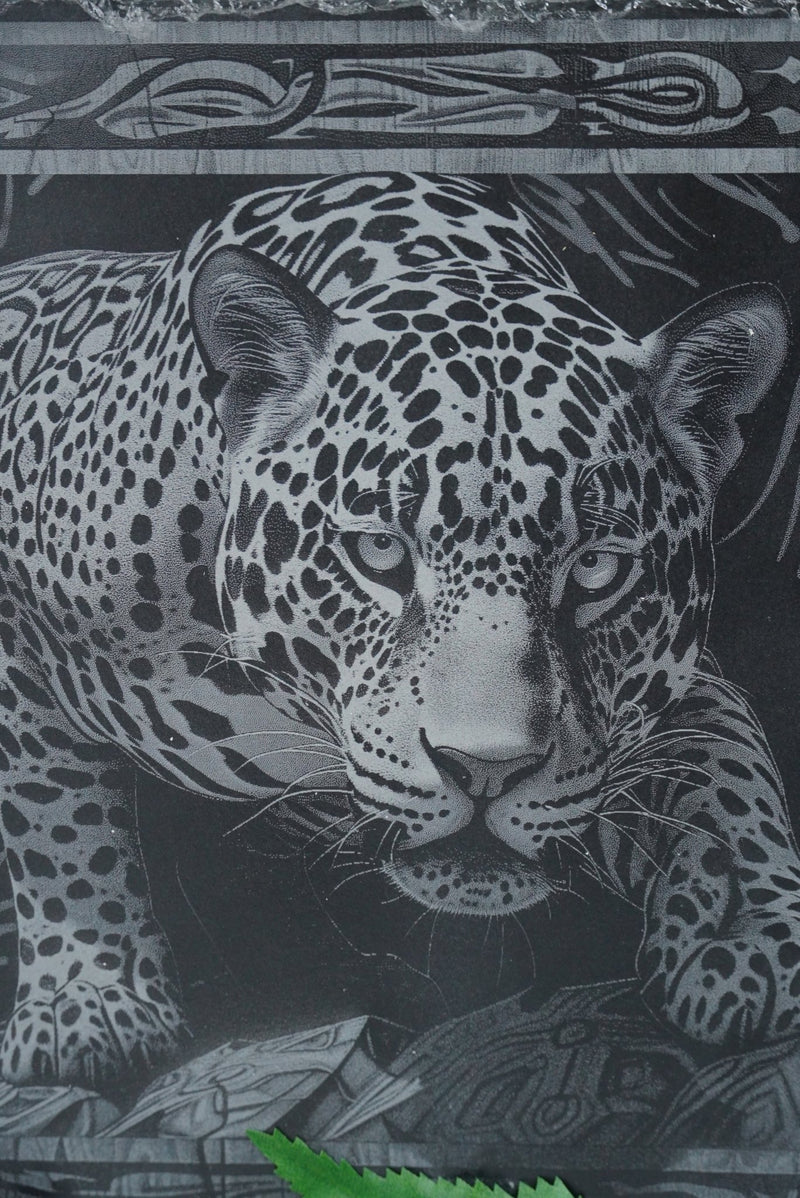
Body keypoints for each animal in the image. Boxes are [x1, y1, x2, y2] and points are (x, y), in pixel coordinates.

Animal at [0, 172, 799, 1096]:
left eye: (597, 567)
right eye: (380, 551)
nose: (485, 770)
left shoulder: (668, 693)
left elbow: (727, 776)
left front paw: (744, 935)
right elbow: (54, 814)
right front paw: (89, 998)